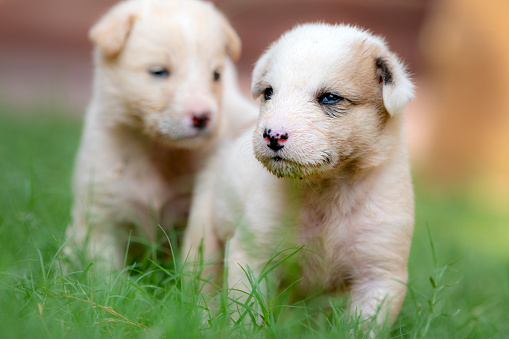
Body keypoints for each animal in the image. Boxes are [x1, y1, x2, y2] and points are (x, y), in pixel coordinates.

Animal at [66, 0, 258, 270]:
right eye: (159, 72)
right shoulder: (101, 215)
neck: (157, 150)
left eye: (216, 75)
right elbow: (104, 272)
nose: (202, 117)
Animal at [185, 23, 414, 326]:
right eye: (269, 93)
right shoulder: (253, 253)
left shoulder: (380, 274)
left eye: (329, 97)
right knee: (202, 283)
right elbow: (247, 312)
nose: (272, 135)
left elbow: (364, 326)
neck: (329, 191)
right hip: (202, 232)